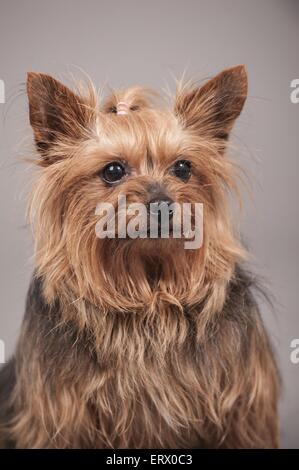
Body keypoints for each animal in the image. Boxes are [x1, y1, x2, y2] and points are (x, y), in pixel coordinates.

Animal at [0, 66, 282, 448]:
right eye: (113, 171)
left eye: (183, 168)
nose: (162, 203)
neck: (149, 289)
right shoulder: (60, 414)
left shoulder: (243, 409)